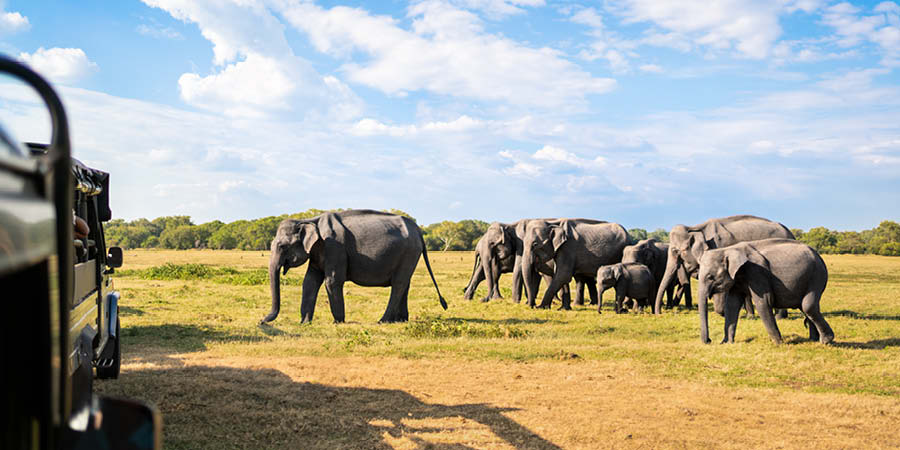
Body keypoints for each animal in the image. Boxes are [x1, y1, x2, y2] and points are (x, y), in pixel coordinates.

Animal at [261, 210, 447, 324]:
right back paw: (400, 320)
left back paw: (383, 321)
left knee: (399, 284)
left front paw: (338, 322)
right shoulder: (317, 252)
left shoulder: (334, 247)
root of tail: (419, 231)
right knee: (404, 283)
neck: (309, 220)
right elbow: (310, 282)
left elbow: (332, 281)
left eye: (282, 246)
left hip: (409, 252)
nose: (261, 321)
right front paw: (305, 323)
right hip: (409, 254)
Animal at [462, 220, 596, 305]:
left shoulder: (522, 244)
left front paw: (517, 302)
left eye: (492, 243)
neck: (510, 225)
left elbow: (521, 270)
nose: (484, 299)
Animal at [654, 215, 795, 315]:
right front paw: (748, 314)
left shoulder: (720, 249)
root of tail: (790, 232)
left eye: (676, 251)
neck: (695, 228)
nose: (660, 313)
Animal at [697, 238, 833, 345]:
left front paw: (779, 343)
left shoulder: (757, 272)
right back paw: (813, 340)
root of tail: (819, 256)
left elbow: (764, 302)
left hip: (816, 276)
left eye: (710, 277)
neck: (728, 249)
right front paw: (726, 343)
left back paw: (826, 341)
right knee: (805, 307)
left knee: (808, 306)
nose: (709, 340)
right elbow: (732, 304)